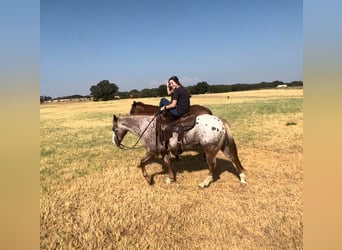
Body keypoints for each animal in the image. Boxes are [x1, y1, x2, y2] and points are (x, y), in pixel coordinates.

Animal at [113, 114, 247, 188]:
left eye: (114, 129)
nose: (115, 143)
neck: (146, 127)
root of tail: (220, 121)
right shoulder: (164, 152)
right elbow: (167, 163)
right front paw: (171, 179)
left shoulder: (152, 151)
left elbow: (142, 162)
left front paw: (148, 179)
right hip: (223, 147)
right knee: (233, 159)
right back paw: (242, 179)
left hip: (210, 150)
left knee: (213, 166)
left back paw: (204, 183)